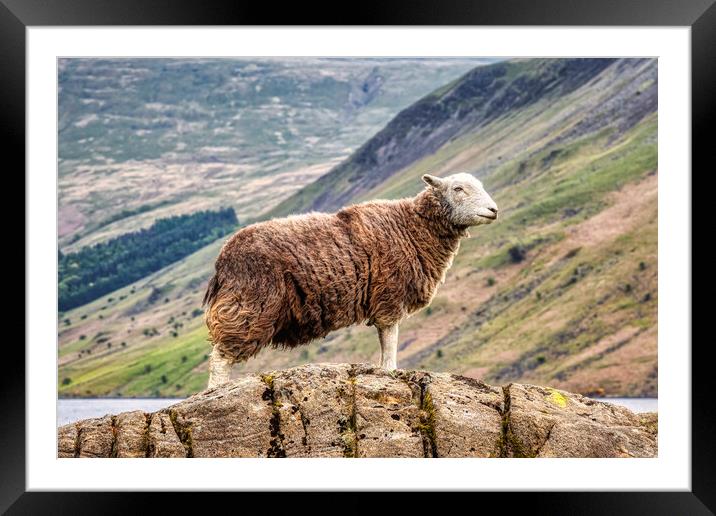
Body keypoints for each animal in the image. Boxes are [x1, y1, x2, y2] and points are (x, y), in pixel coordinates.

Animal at [199, 172, 496, 388]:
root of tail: (223, 258)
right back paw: (216, 390)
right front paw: (390, 371)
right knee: (221, 355)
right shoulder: (390, 293)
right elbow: (389, 338)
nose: (493, 210)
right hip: (250, 303)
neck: (412, 226)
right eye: (458, 189)